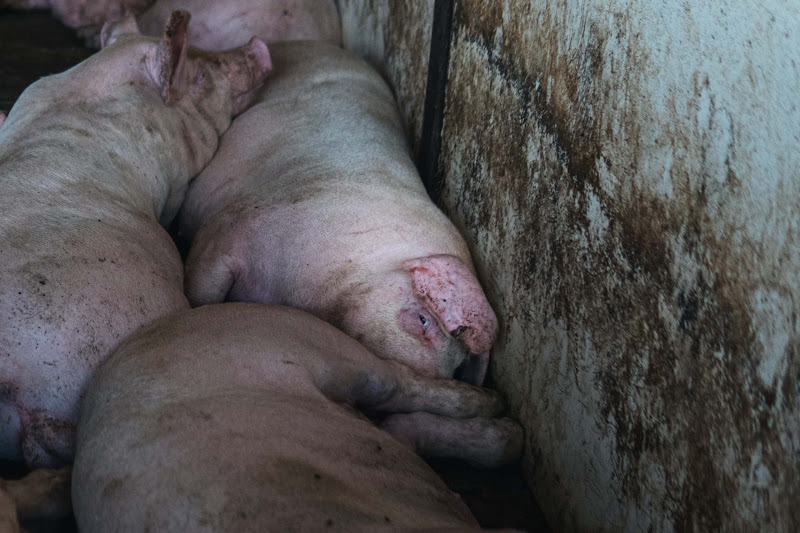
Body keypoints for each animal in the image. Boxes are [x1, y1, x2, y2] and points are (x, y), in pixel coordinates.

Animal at [73, 303, 522, 532]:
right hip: (312, 343)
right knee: (400, 406)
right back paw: (507, 428)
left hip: (317, 343)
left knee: (399, 392)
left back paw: (501, 416)